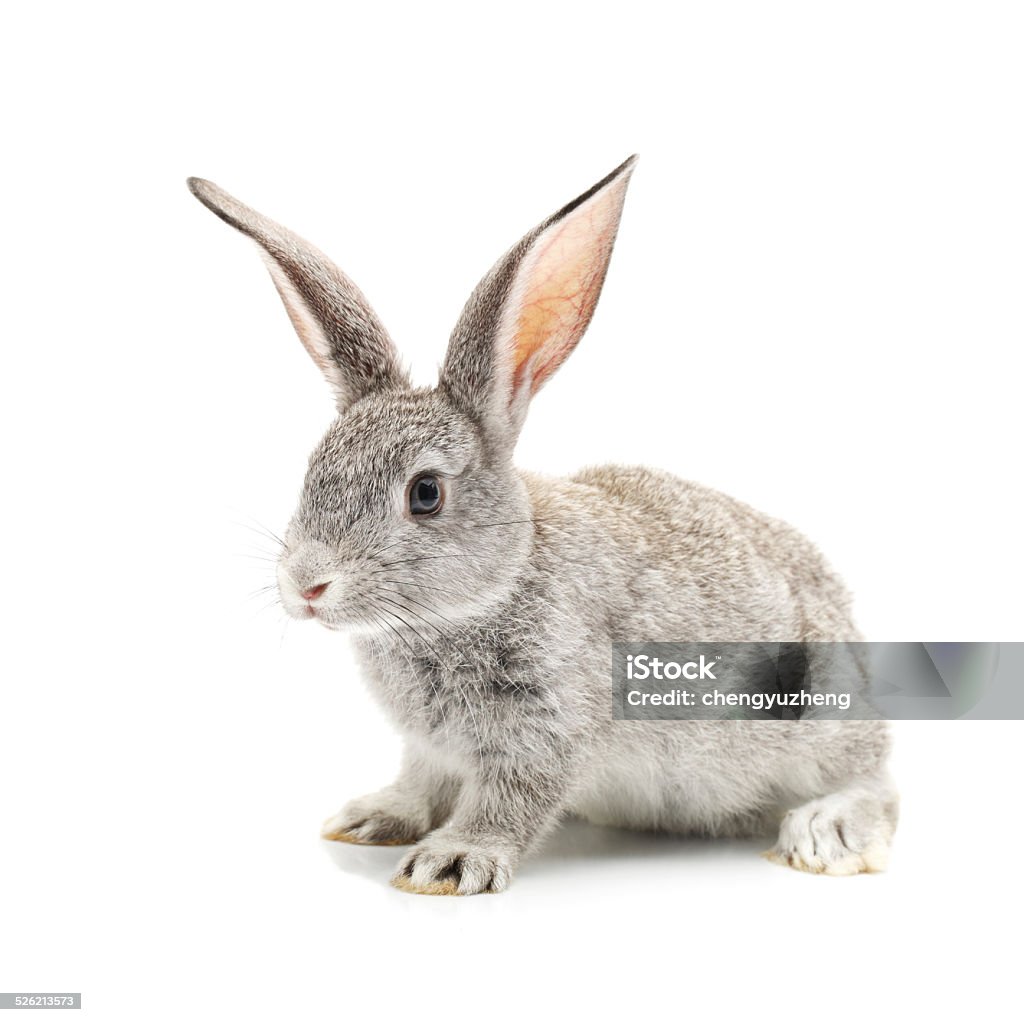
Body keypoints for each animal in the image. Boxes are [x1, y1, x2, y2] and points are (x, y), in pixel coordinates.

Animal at [186, 153, 897, 897]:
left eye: (426, 494)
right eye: (312, 470)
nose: (305, 585)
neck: (491, 588)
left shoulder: (548, 725)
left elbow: (512, 798)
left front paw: (450, 861)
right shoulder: (430, 749)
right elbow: (421, 781)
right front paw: (373, 819)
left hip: (816, 714)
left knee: (874, 780)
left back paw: (825, 835)